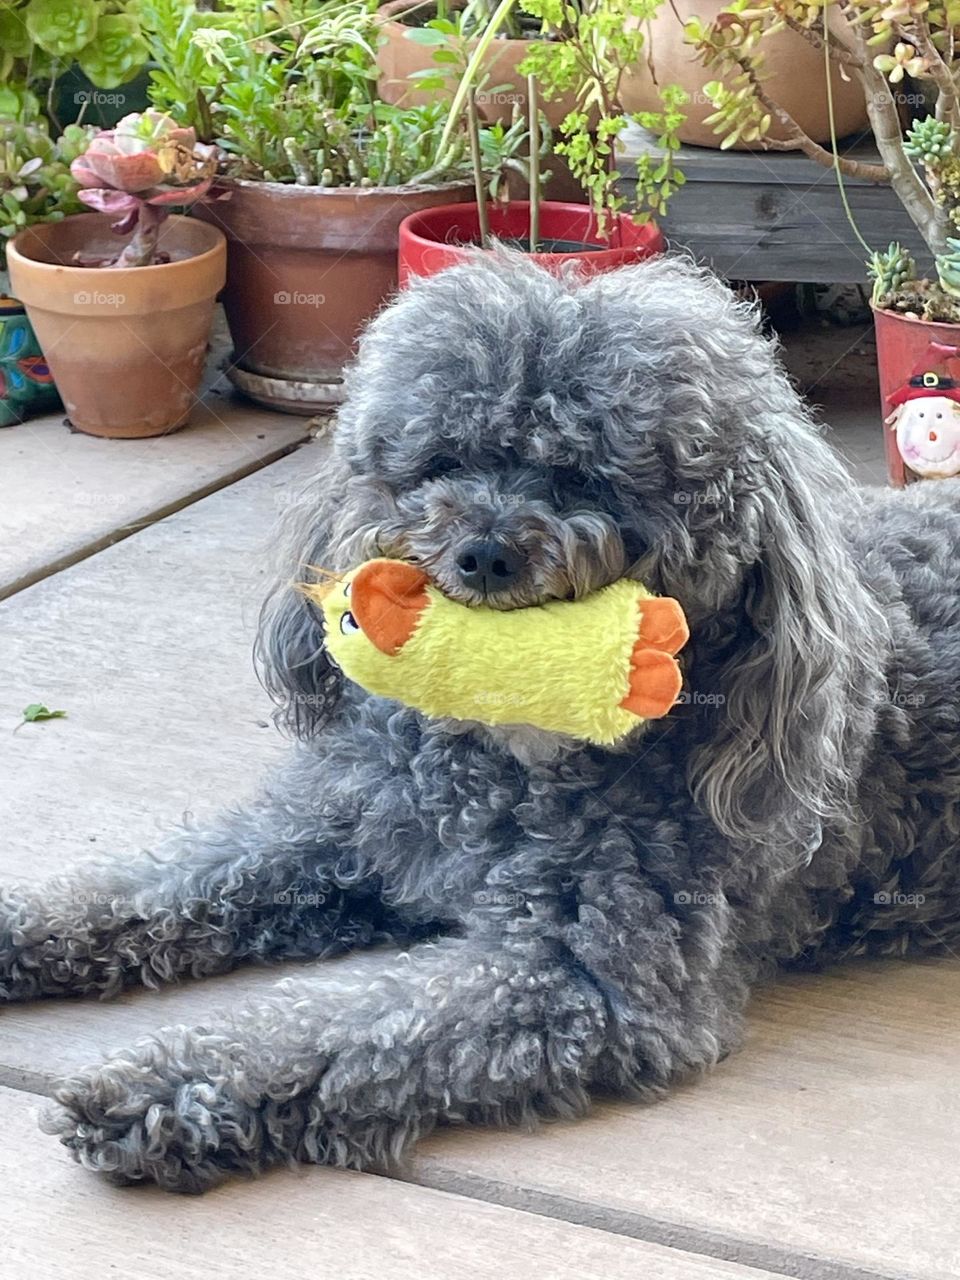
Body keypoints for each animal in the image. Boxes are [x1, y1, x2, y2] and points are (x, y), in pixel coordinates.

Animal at [3, 254, 957, 1192]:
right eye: (444, 460)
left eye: (588, 479)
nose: (485, 552)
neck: (499, 766)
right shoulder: (331, 833)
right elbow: (164, 878)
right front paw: (24, 928)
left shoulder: (585, 976)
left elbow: (351, 1025)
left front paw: (171, 1082)